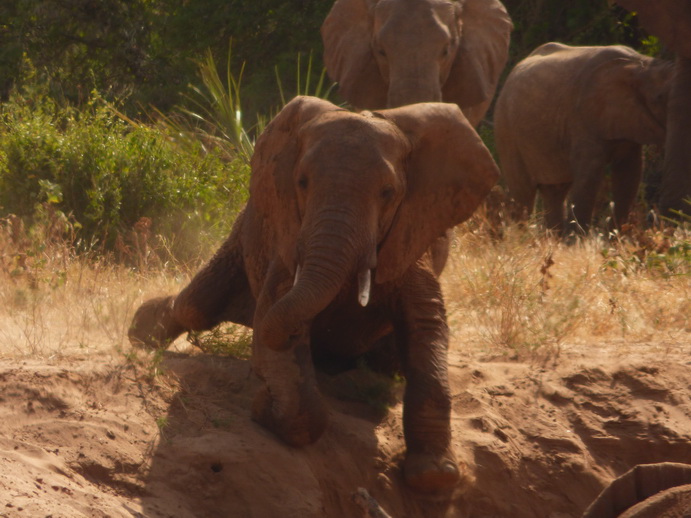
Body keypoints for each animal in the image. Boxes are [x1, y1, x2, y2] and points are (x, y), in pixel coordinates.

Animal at [128, 96, 498, 496]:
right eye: (302, 183)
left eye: (388, 193)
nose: (261, 381)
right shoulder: (287, 241)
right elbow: (276, 322)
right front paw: (265, 404)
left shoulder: (414, 237)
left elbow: (426, 328)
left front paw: (434, 475)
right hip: (243, 230)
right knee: (198, 306)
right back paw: (140, 329)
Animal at [494, 43, 672, 235]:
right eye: (660, 98)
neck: (641, 65)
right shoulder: (583, 120)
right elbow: (589, 176)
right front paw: (578, 239)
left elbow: (630, 173)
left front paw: (613, 237)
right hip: (506, 129)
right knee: (523, 193)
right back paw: (521, 236)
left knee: (554, 191)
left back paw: (554, 239)